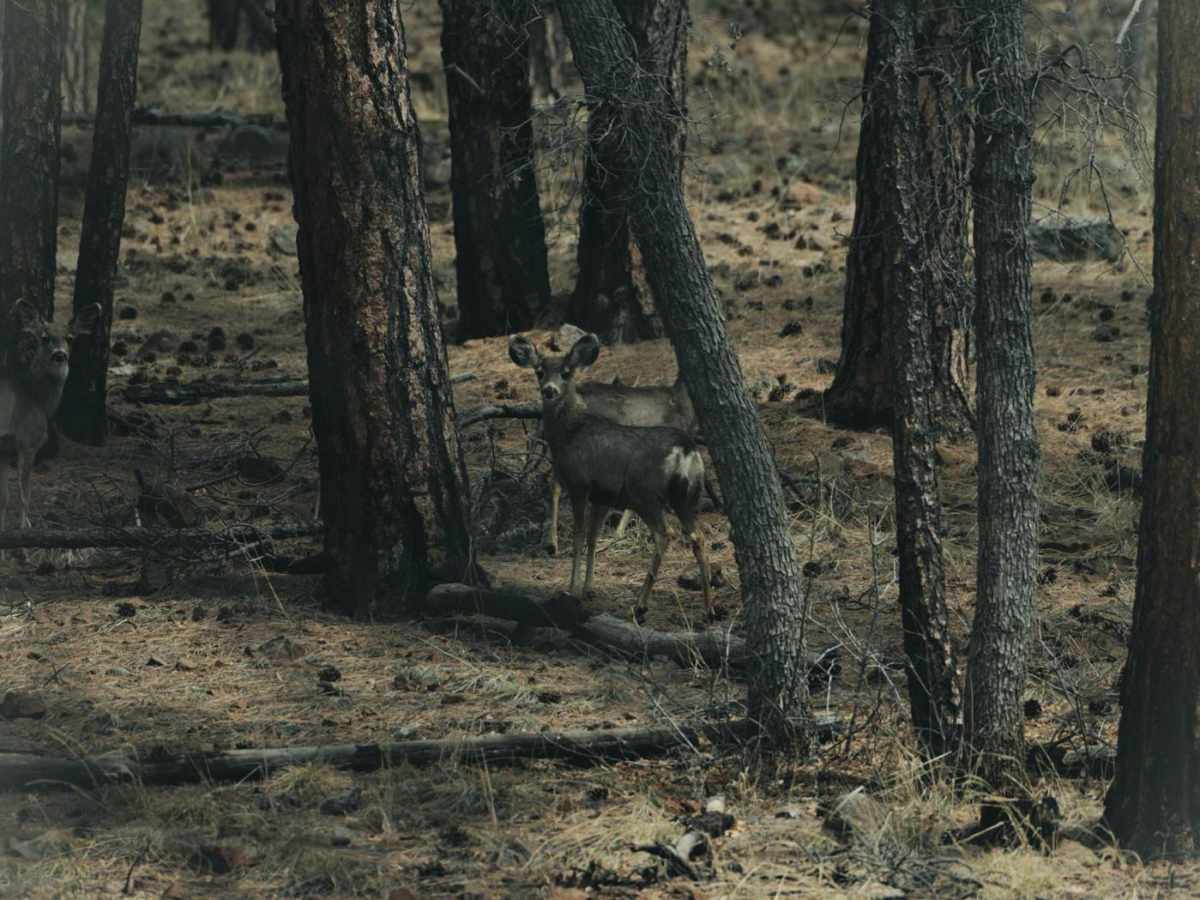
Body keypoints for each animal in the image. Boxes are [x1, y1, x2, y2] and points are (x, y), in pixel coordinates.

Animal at [0, 299, 101, 533]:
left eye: (70, 338)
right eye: (44, 337)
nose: (59, 355)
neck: (37, 397)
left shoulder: (5, 450)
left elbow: (5, 497)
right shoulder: (29, 439)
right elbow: (24, 493)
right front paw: (25, 526)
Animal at [509, 331, 713, 617]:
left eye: (566, 372)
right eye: (539, 371)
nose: (549, 390)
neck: (570, 432)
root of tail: (685, 450)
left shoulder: (581, 485)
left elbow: (579, 536)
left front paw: (571, 589)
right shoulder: (603, 496)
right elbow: (593, 539)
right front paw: (588, 588)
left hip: (646, 494)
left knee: (665, 535)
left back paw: (640, 604)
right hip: (687, 496)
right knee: (698, 537)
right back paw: (708, 607)